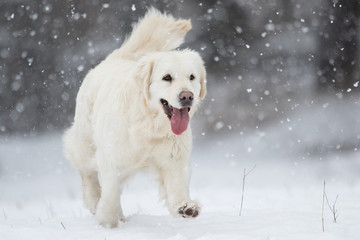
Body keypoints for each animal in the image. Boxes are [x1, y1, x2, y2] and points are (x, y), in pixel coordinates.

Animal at [63, 8, 207, 228]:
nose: (187, 96)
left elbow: (177, 186)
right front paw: (107, 219)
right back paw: (94, 200)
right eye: (167, 77)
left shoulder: (175, 159)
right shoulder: (111, 157)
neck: (149, 125)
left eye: (192, 77)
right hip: (85, 143)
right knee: (87, 173)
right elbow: (110, 192)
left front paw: (186, 206)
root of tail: (115, 57)